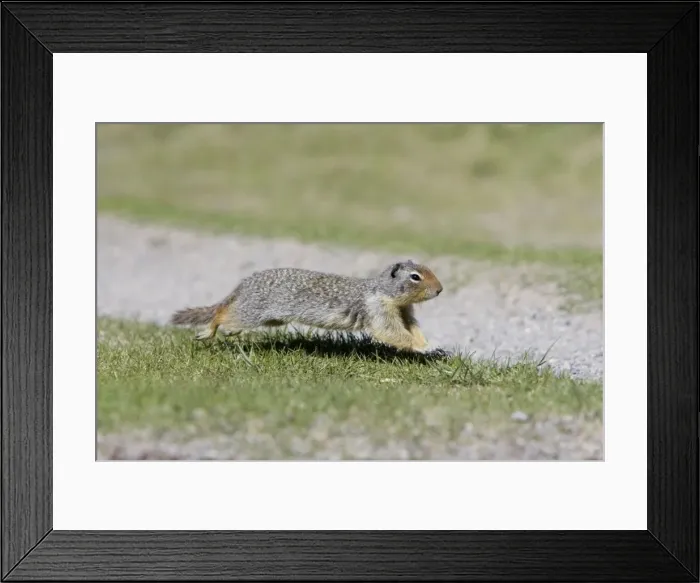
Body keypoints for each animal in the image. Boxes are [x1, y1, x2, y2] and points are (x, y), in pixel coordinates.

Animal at [169, 260, 443, 352]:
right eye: (415, 277)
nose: (440, 289)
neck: (387, 293)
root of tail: (245, 283)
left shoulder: (404, 311)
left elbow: (413, 328)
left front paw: (428, 343)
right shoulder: (379, 309)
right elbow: (392, 332)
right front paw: (424, 349)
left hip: (270, 317)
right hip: (252, 311)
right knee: (221, 313)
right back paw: (210, 330)